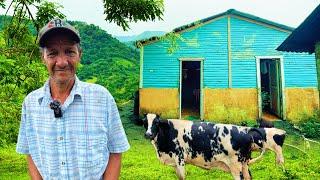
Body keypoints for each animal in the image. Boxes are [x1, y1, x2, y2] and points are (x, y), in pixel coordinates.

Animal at [142, 114, 284, 179]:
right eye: (145, 122)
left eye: (156, 122)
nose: (148, 134)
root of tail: (246, 131)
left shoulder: (180, 159)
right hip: (244, 164)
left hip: (236, 166)